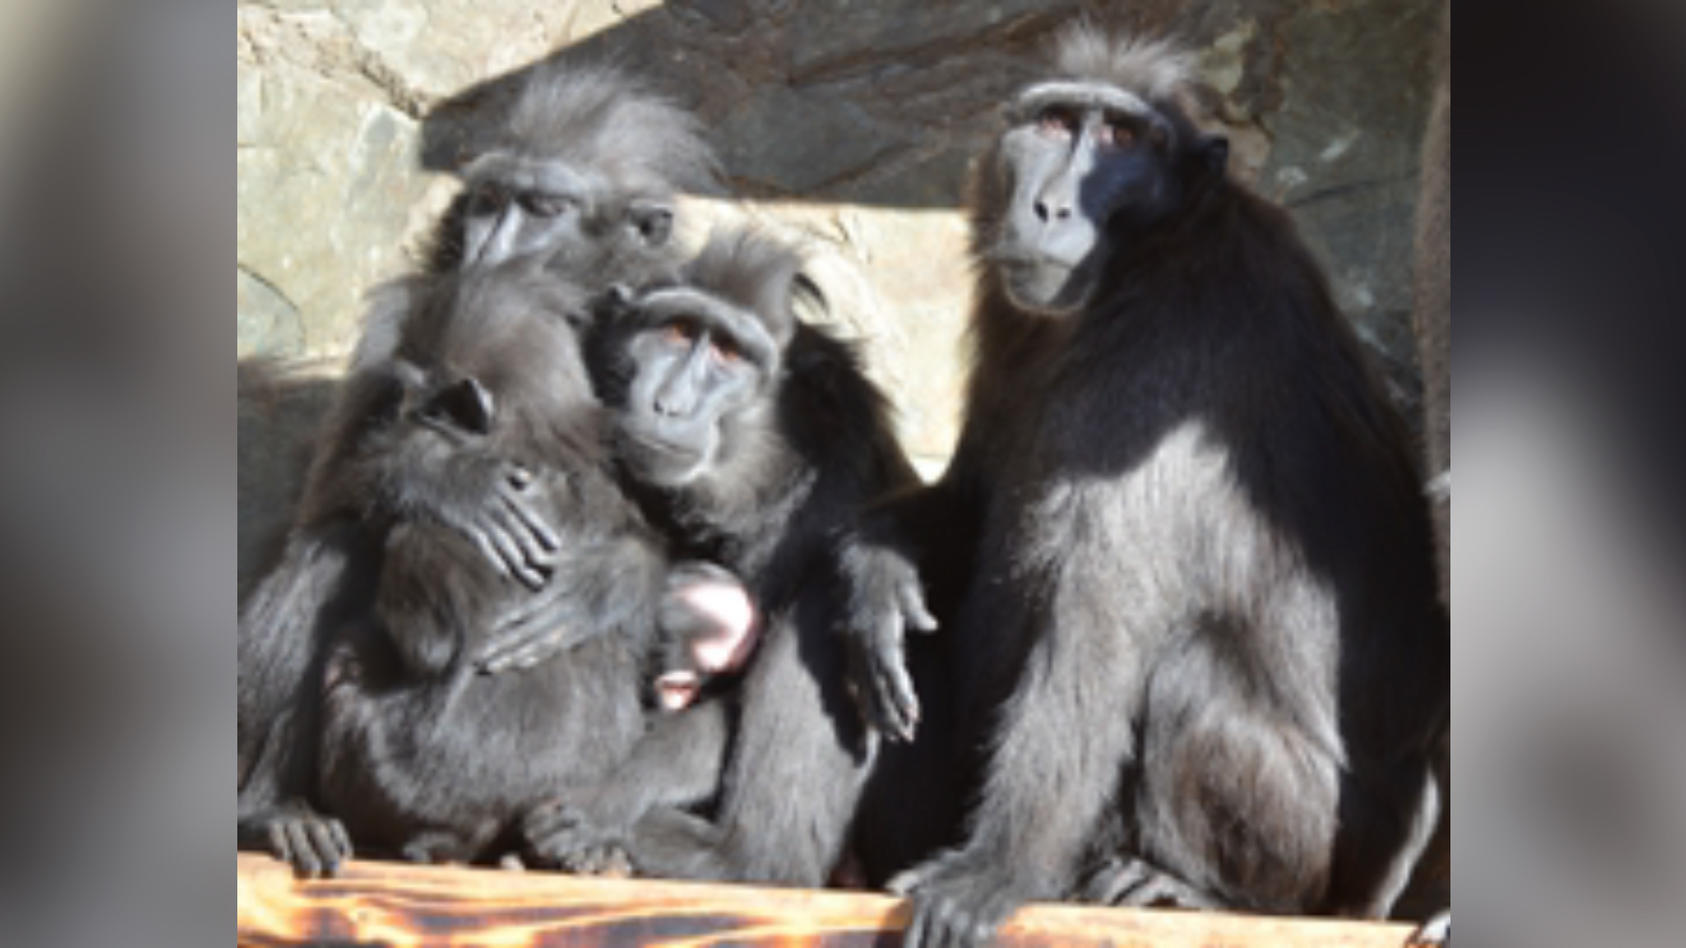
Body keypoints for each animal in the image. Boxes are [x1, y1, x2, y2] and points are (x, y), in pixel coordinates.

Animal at [512, 231, 944, 883]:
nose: (670, 403)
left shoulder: (819, 500)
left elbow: (735, 696)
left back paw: (741, 859)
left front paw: (609, 800)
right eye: (677, 331)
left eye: (729, 355)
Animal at [843, 29, 1449, 944]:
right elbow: (972, 494)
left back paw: (1197, 891)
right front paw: (875, 572)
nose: (1053, 207)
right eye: (1057, 123)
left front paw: (996, 869)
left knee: (1188, 667)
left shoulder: (1168, 360)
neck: (1148, 255)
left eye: (1124, 138)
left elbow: (1096, 624)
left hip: (1316, 841)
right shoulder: (1017, 321)